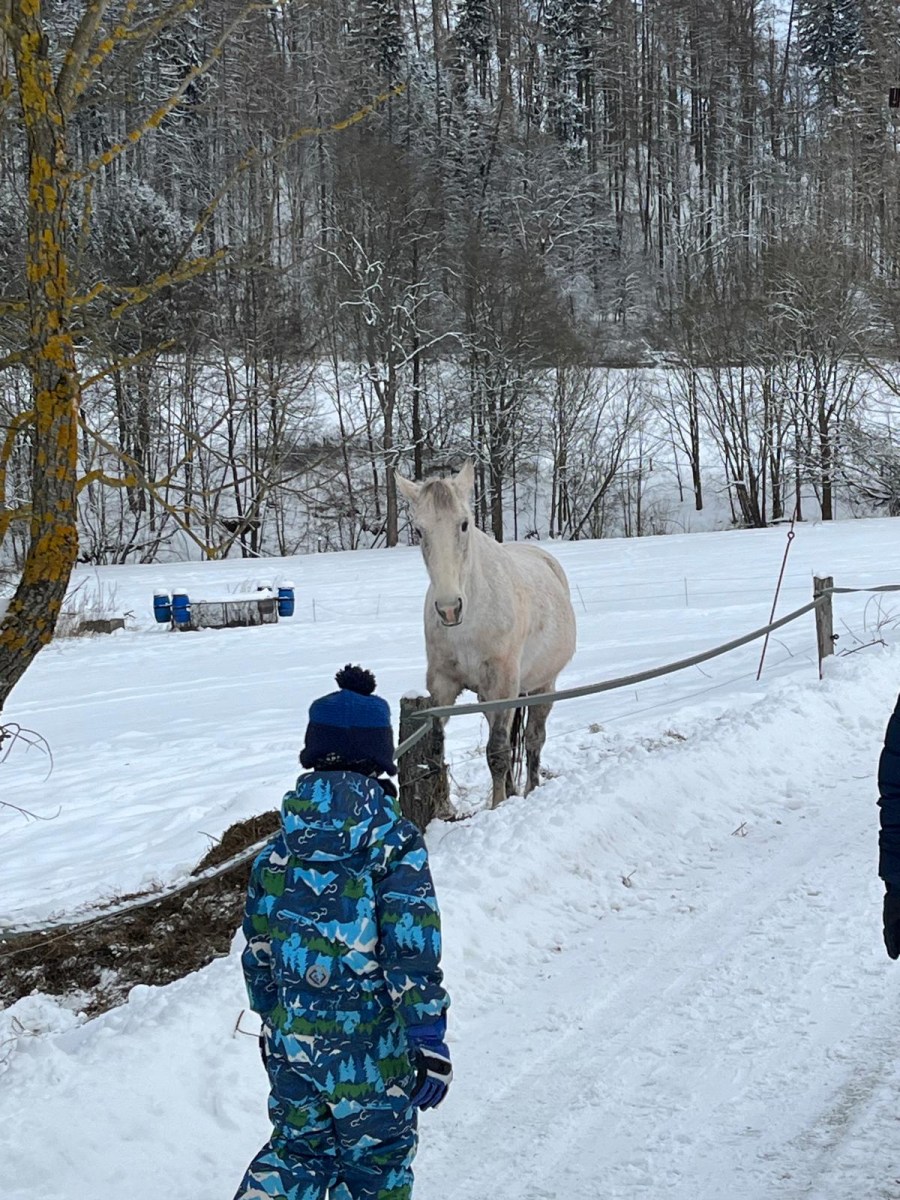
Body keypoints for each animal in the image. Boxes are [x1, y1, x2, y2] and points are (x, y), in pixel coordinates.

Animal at [396, 460, 577, 809]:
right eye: (420, 531)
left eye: (464, 524)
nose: (449, 609)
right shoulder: (442, 685)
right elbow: (435, 749)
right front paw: (444, 808)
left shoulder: (503, 686)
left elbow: (498, 753)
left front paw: (497, 807)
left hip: (542, 687)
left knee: (533, 741)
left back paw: (530, 790)